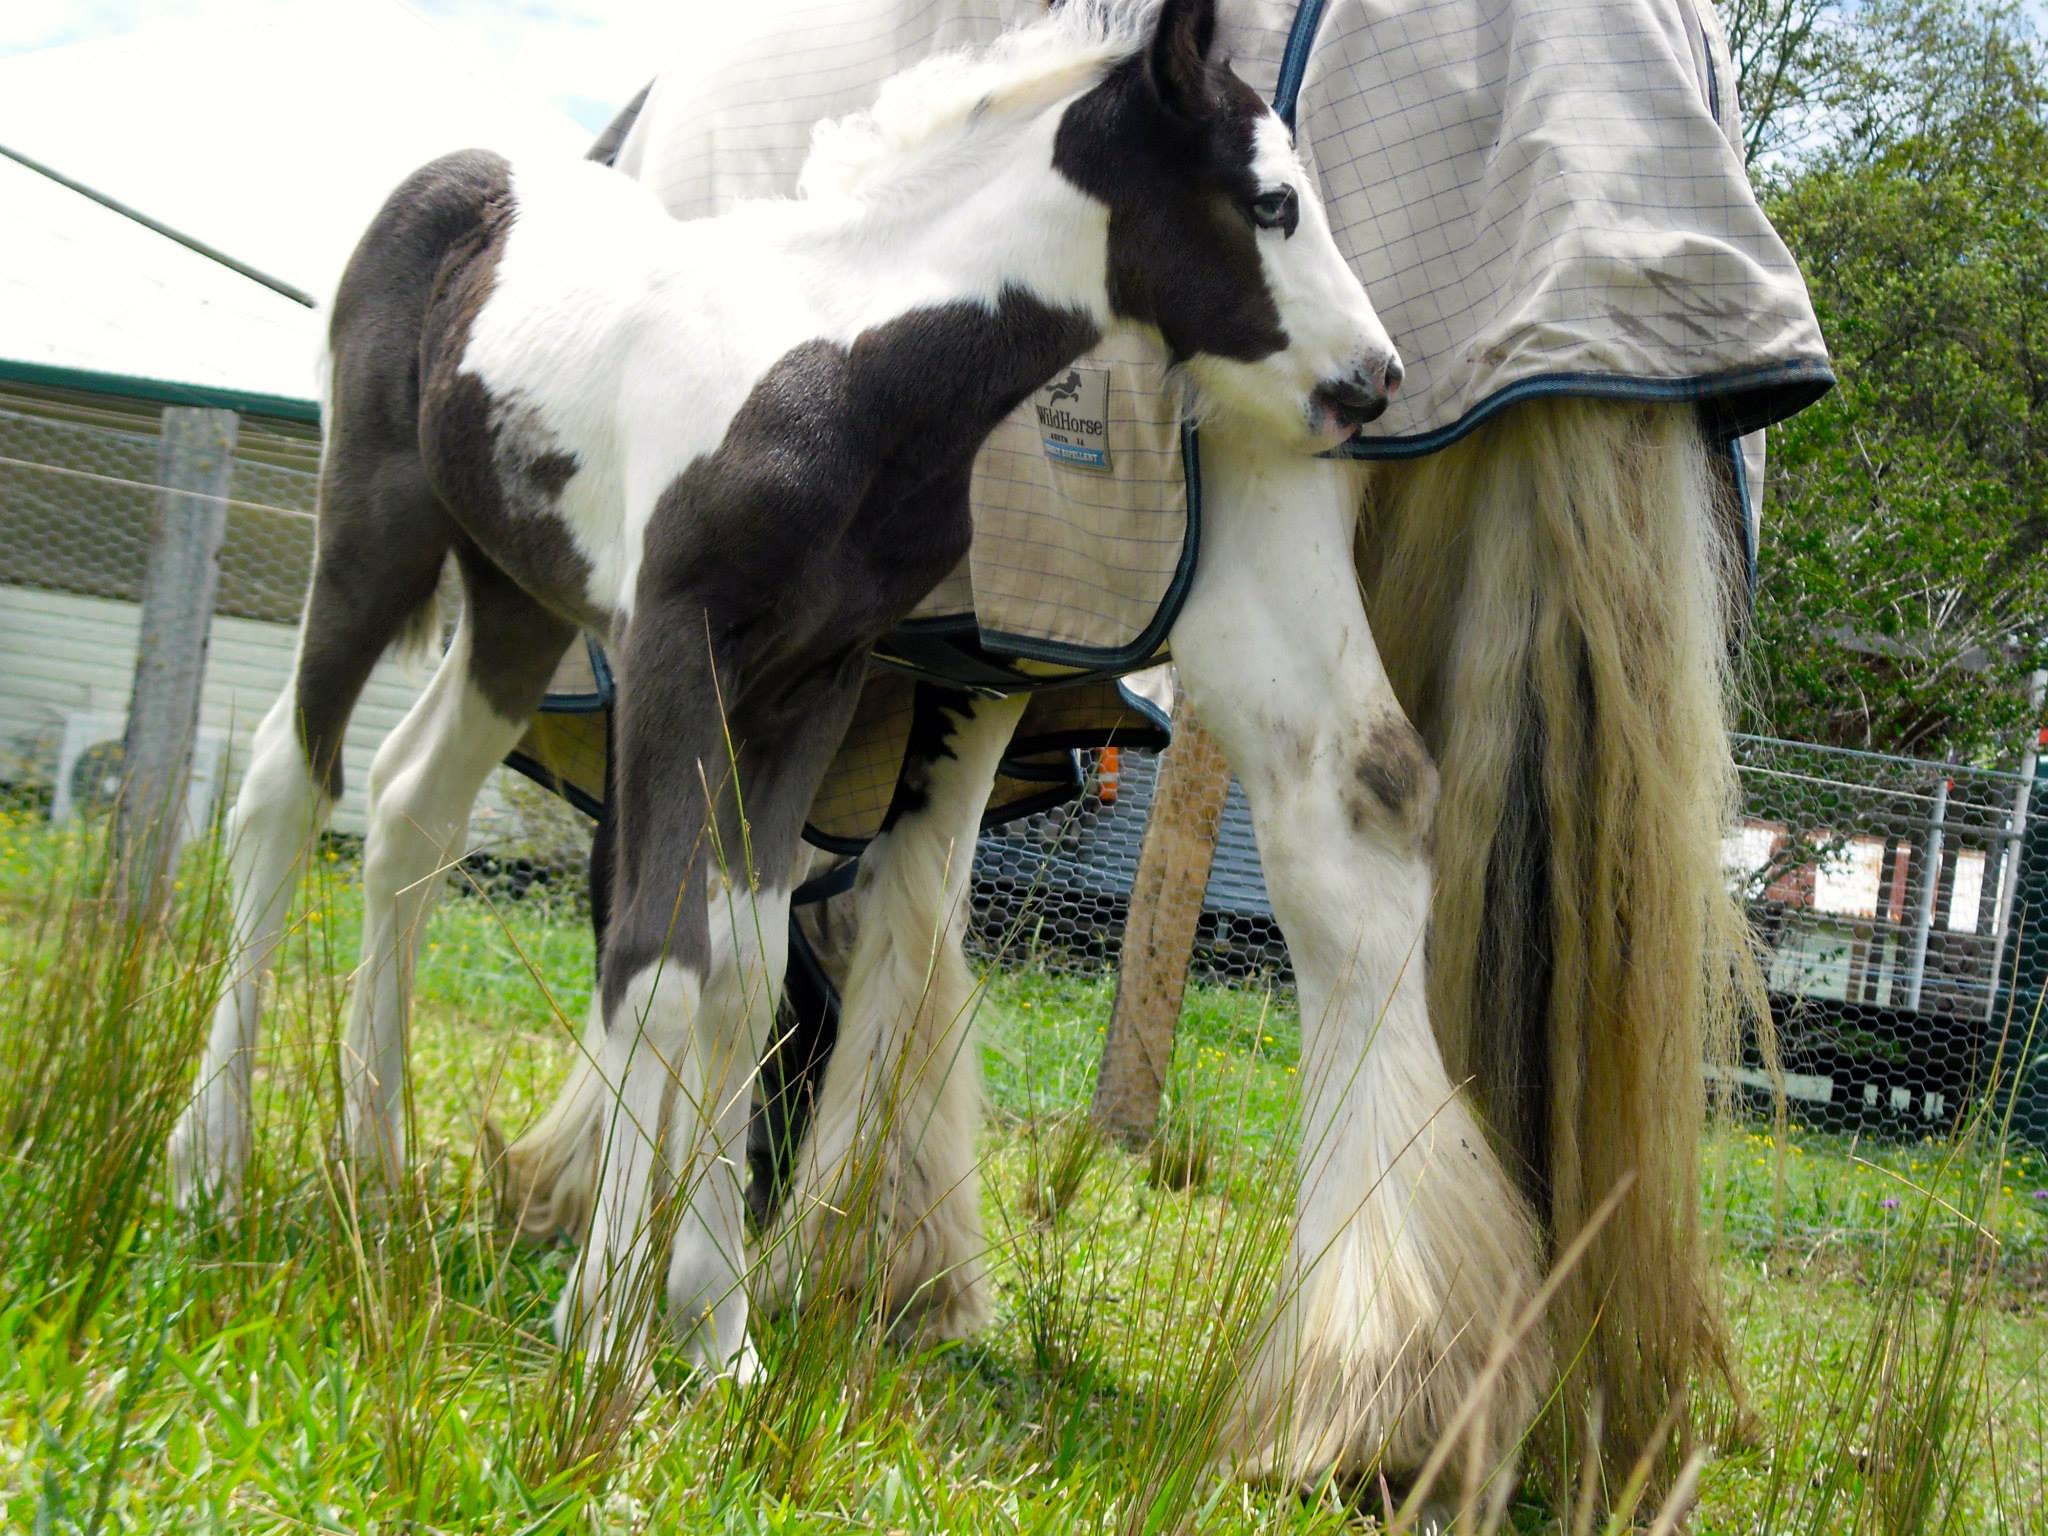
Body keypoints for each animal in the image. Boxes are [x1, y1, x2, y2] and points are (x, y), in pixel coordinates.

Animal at [172, 0, 1409, 1376]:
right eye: (1270, 202)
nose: (1370, 381)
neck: (843, 366)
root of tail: (467, 171)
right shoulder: (677, 652)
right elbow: (656, 965)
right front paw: (607, 1335)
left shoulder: (817, 676)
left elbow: (746, 973)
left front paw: (716, 1334)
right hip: (376, 523)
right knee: (287, 786)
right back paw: (213, 1170)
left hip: (516, 601)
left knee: (409, 810)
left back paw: (374, 1179)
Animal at [507, 0, 1826, 1482]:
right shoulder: (952, 652)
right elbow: (880, 897)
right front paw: (865, 1260)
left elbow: (719, 909)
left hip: (1256, 505)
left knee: (1352, 820)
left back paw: (1375, 1381)